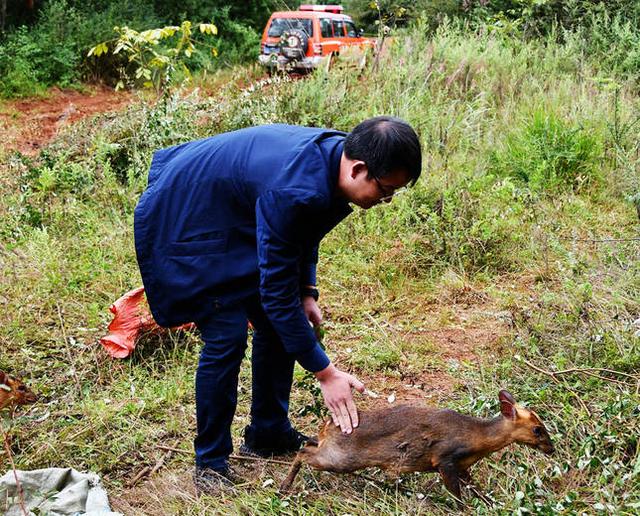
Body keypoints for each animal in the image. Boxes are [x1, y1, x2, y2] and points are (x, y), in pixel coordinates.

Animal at [282, 392, 556, 500]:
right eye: (538, 429)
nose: (551, 449)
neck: (477, 437)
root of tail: (329, 424)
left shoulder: (462, 466)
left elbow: (475, 488)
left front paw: (489, 503)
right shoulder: (445, 458)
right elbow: (456, 494)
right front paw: (463, 508)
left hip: (330, 449)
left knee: (308, 441)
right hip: (340, 458)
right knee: (303, 452)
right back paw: (284, 486)